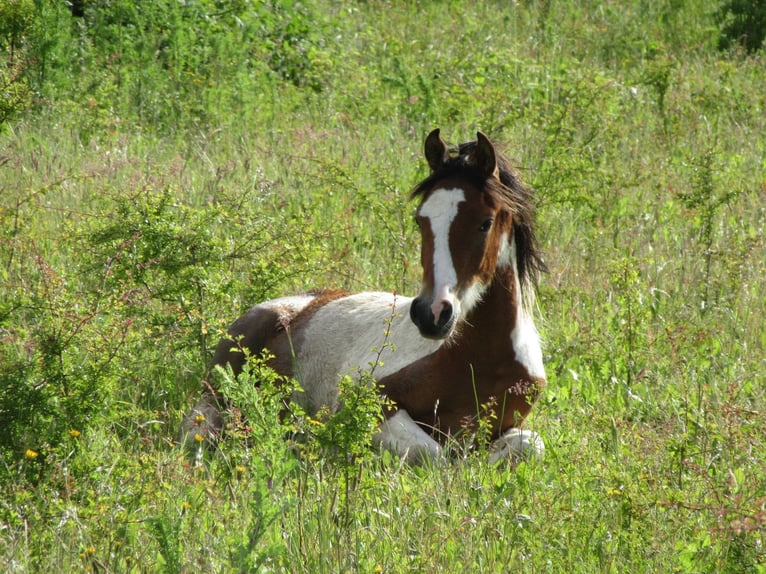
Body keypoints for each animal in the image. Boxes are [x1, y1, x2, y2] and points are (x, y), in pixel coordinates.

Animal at [182, 128, 548, 466]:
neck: (481, 360)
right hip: (222, 377)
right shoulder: (371, 403)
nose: (431, 314)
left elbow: (529, 445)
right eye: (421, 220)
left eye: (485, 223)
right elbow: (436, 455)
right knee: (199, 421)